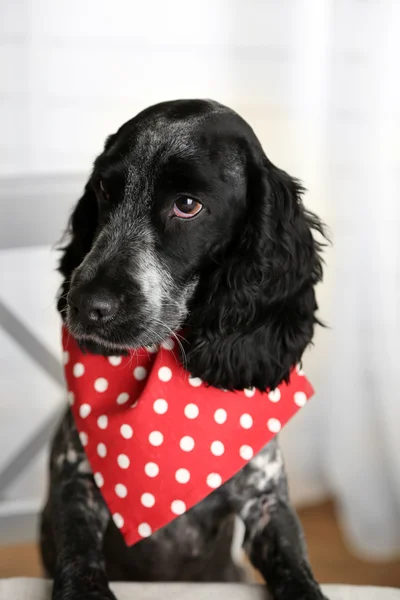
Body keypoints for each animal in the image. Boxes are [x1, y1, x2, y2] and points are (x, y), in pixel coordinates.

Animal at [40, 101, 328, 596]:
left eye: (187, 205)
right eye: (105, 189)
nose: (84, 304)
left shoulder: (267, 502)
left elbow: (296, 564)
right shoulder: (74, 483)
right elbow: (78, 552)